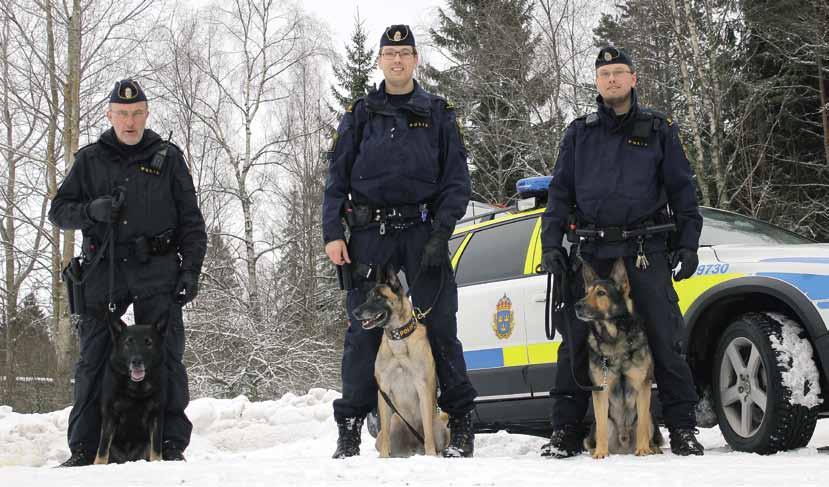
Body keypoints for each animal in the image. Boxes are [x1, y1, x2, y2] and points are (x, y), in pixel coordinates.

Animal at [94, 312, 168, 466]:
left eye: (148, 342)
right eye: (128, 342)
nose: (136, 361)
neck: (136, 389)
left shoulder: (156, 415)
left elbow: (156, 448)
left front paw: (157, 463)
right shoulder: (110, 415)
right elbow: (102, 449)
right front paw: (98, 466)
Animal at [352, 264, 450, 460]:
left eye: (379, 297)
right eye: (367, 297)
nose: (355, 312)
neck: (398, 338)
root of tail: (413, 447)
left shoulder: (423, 386)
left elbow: (428, 433)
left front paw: (430, 456)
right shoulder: (384, 390)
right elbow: (384, 436)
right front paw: (383, 459)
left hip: (440, 426)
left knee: (431, 435)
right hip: (392, 426)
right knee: (385, 438)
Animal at [572, 262, 664, 460]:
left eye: (601, 293)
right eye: (586, 292)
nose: (577, 305)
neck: (614, 339)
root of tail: (623, 446)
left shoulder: (642, 386)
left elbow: (642, 424)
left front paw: (643, 449)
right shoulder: (600, 390)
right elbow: (601, 428)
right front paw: (601, 453)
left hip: (651, 418)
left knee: (648, 428)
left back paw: (652, 448)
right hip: (603, 424)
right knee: (594, 435)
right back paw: (597, 450)